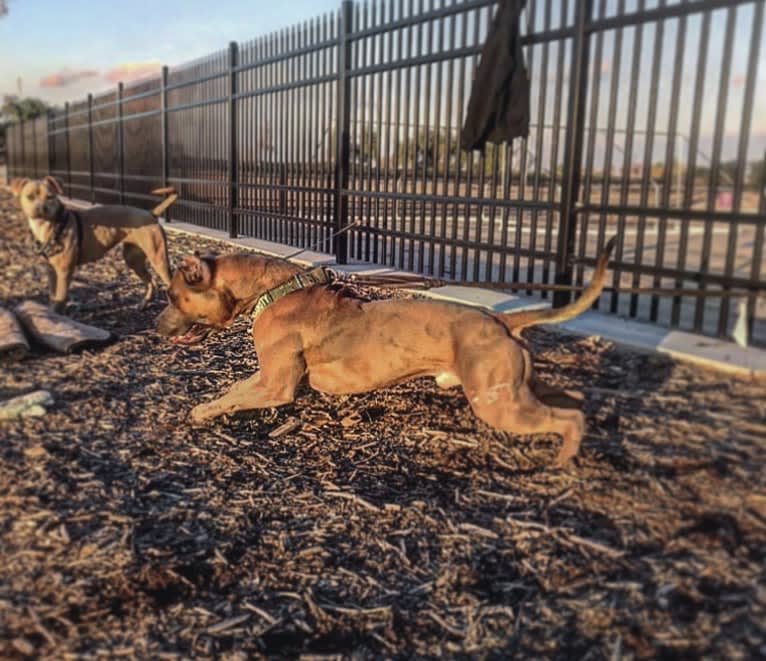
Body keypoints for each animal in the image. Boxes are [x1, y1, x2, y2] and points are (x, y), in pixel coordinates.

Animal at [9, 177, 177, 314]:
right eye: (30, 197)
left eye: (50, 197)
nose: (41, 208)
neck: (51, 227)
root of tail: (151, 213)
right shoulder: (51, 271)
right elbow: (53, 297)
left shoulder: (64, 271)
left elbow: (61, 298)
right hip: (133, 260)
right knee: (151, 281)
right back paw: (144, 304)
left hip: (158, 259)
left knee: (169, 283)